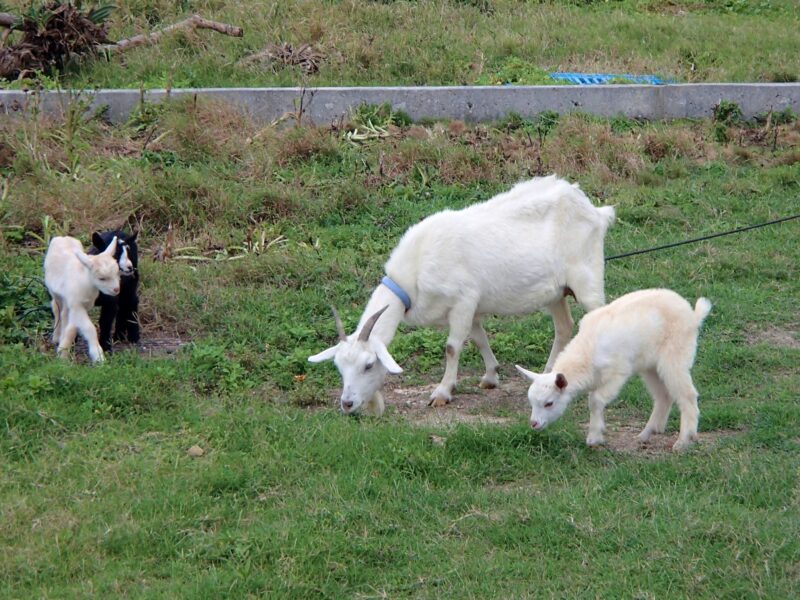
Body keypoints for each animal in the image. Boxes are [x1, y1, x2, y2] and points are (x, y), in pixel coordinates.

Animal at [310, 176, 616, 414]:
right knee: (563, 327)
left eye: (369, 365)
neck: (416, 269)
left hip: (587, 278)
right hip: (554, 292)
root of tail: (595, 210)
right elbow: (478, 338)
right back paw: (548, 374)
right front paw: (491, 376)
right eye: (339, 366)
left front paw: (442, 392)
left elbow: (452, 347)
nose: (347, 404)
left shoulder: (463, 300)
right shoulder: (470, 308)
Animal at [520, 290, 712, 450]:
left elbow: (595, 399)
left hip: (675, 355)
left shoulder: (617, 373)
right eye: (531, 402)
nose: (534, 424)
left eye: (549, 403)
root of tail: (693, 316)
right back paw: (647, 433)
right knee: (663, 396)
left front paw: (594, 438)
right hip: (650, 365)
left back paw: (683, 441)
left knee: (687, 395)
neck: (587, 353)